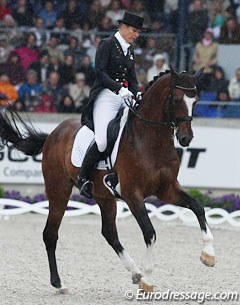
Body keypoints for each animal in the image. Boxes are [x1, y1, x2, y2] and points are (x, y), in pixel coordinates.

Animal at [0, 67, 216, 292]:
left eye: (196, 100)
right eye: (175, 99)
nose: (185, 138)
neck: (151, 142)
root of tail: (53, 134)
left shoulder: (168, 190)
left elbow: (198, 207)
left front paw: (208, 255)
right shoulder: (132, 194)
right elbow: (150, 232)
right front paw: (148, 279)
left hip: (104, 197)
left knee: (109, 232)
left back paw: (135, 272)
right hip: (58, 190)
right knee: (50, 233)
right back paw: (59, 284)